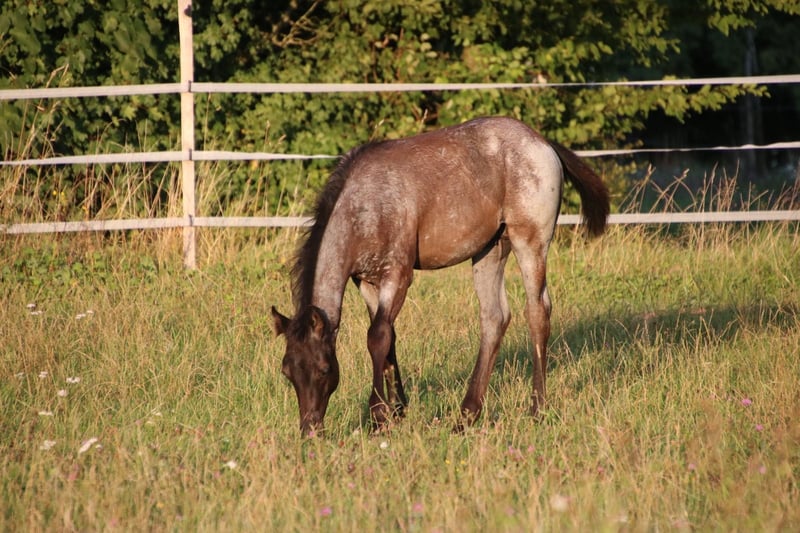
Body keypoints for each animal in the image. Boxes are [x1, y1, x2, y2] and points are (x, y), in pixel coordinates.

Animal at [271, 116, 609, 436]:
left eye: (323, 369)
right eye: (288, 371)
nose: (310, 430)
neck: (365, 206)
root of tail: (543, 143)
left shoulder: (398, 274)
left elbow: (377, 336)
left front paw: (379, 416)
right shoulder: (366, 281)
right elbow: (388, 335)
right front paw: (398, 410)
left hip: (530, 242)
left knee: (537, 312)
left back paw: (537, 409)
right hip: (490, 250)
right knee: (494, 318)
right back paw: (466, 416)